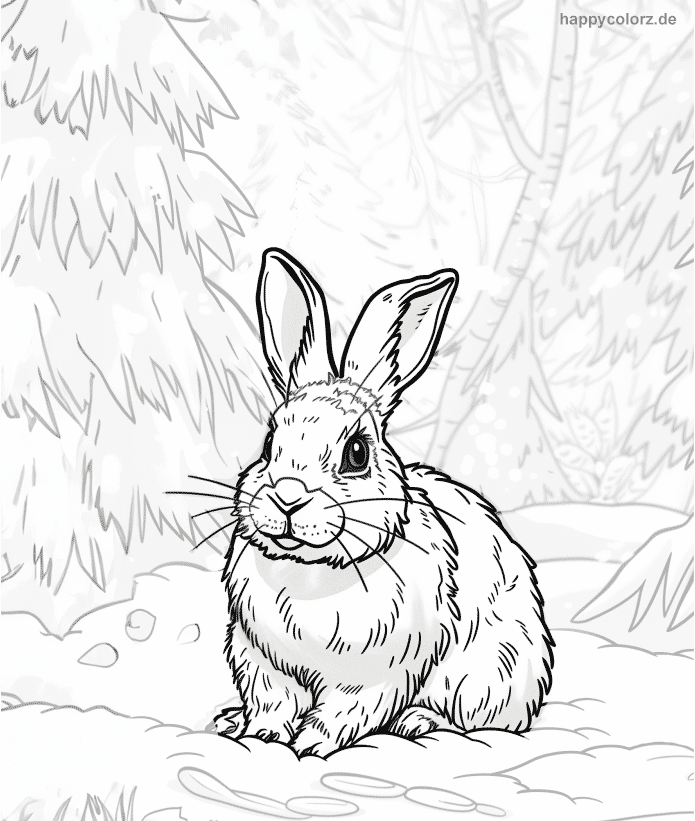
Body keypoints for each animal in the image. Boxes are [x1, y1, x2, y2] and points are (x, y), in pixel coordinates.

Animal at [222, 247, 554, 757]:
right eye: (270, 441)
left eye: (357, 452)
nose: (288, 498)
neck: (313, 574)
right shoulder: (262, 662)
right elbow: (271, 705)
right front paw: (258, 735)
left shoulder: (377, 675)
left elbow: (343, 714)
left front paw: (311, 747)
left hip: (487, 678)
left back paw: (418, 721)